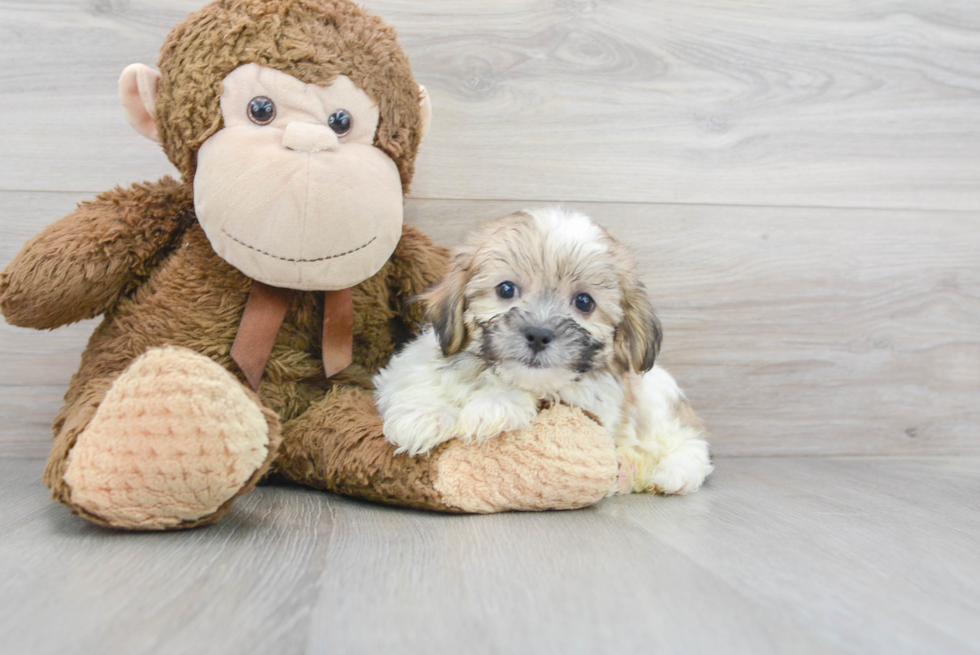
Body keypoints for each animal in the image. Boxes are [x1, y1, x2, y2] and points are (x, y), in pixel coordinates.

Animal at [376, 208, 712, 494]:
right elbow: (417, 380)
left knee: (687, 441)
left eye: (584, 302)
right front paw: (422, 417)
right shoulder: (408, 364)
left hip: (656, 397)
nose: (538, 335)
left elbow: (535, 394)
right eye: (506, 289)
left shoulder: (593, 401)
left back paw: (670, 474)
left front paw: (494, 407)